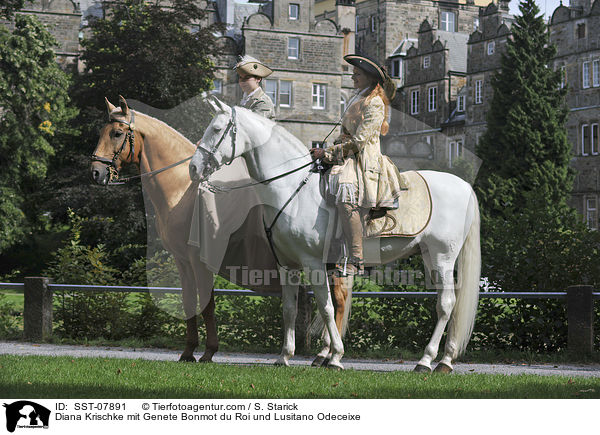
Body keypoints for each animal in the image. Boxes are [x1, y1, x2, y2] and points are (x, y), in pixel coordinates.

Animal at [190, 97, 480, 372]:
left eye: (216, 129)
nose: (193, 169)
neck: (292, 190)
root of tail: (464, 185)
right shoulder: (287, 265)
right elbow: (289, 310)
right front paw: (284, 356)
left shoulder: (314, 263)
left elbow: (327, 307)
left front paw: (336, 356)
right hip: (429, 256)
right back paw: (444, 360)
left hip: (443, 257)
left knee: (446, 304)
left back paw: (428, 360)